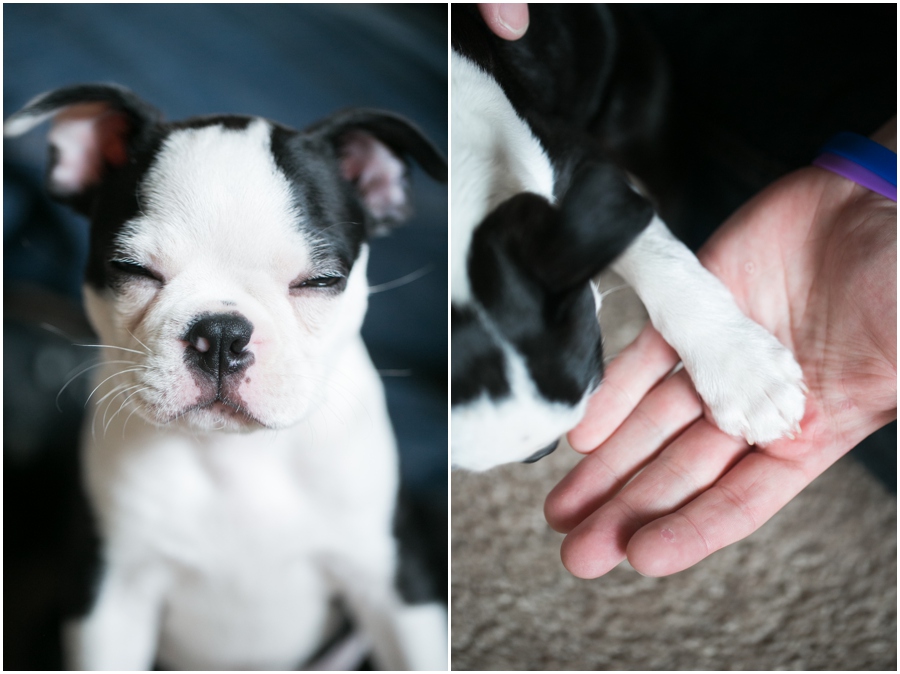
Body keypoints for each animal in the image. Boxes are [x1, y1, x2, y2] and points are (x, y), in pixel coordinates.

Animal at [2, 86, 446, 668]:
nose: (221, 335)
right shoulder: (108, 593)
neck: (234, 458)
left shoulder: (397, 585)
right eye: (131, 269)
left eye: (320, 281)